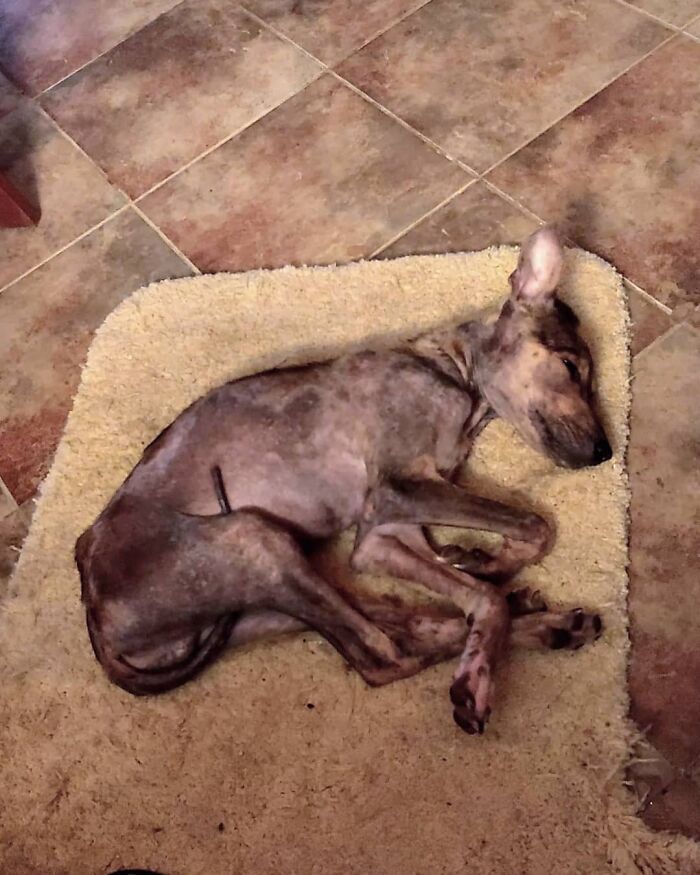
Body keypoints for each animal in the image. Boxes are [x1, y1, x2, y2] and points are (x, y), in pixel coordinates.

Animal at [76, 229, 608, 736]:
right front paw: (479, 656)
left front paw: (482, 562)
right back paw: (516, 637)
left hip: (260, 605)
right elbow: (530, 533)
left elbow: (479, 583)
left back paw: (551, 624)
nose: (604, 453)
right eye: (569, 367)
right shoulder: (398, 489)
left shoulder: (378, 538)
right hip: (251, 538)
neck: (451, 374)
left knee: (410, 627)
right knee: (385, 654)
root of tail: (95, 618)